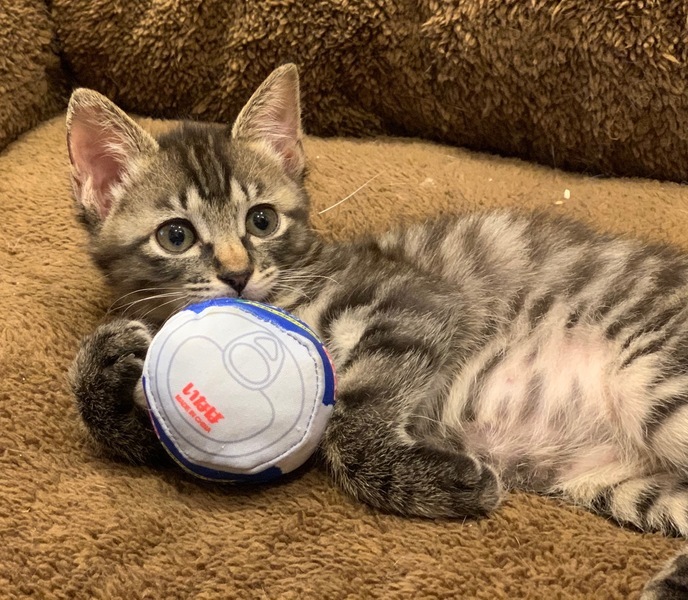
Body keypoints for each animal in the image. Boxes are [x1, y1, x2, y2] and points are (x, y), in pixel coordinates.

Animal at [67, 64, 688, 598]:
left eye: (261, 221)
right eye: (175, 236)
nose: (237, 275)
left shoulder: (416, 299)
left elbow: (349, 424)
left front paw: (437, 480)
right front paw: (102, 364)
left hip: (655, 379)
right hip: (621, 481)